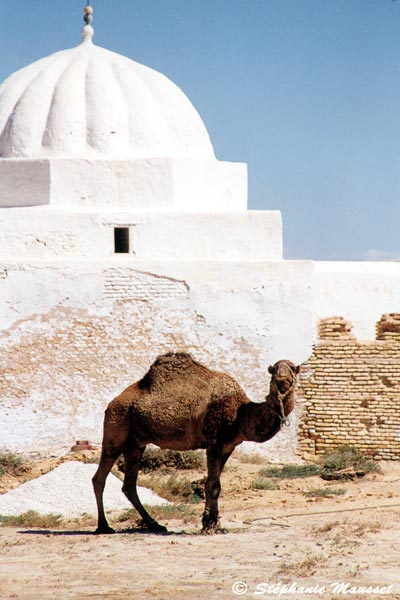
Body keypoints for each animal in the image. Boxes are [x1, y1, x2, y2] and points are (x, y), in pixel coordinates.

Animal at [92, 352, 298, 536]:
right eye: (274, 370)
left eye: (292, 369)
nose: (281, 376)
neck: (241, 414)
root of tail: (111, 404)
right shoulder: (214, 442)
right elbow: (214, 485)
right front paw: (210, 526)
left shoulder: (228, 446)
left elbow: (210, 483)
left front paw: (213, 523)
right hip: (115, 429)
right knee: (100, 478)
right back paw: (104, 527)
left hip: (136, 444)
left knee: (128, 485)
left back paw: (154, 524)